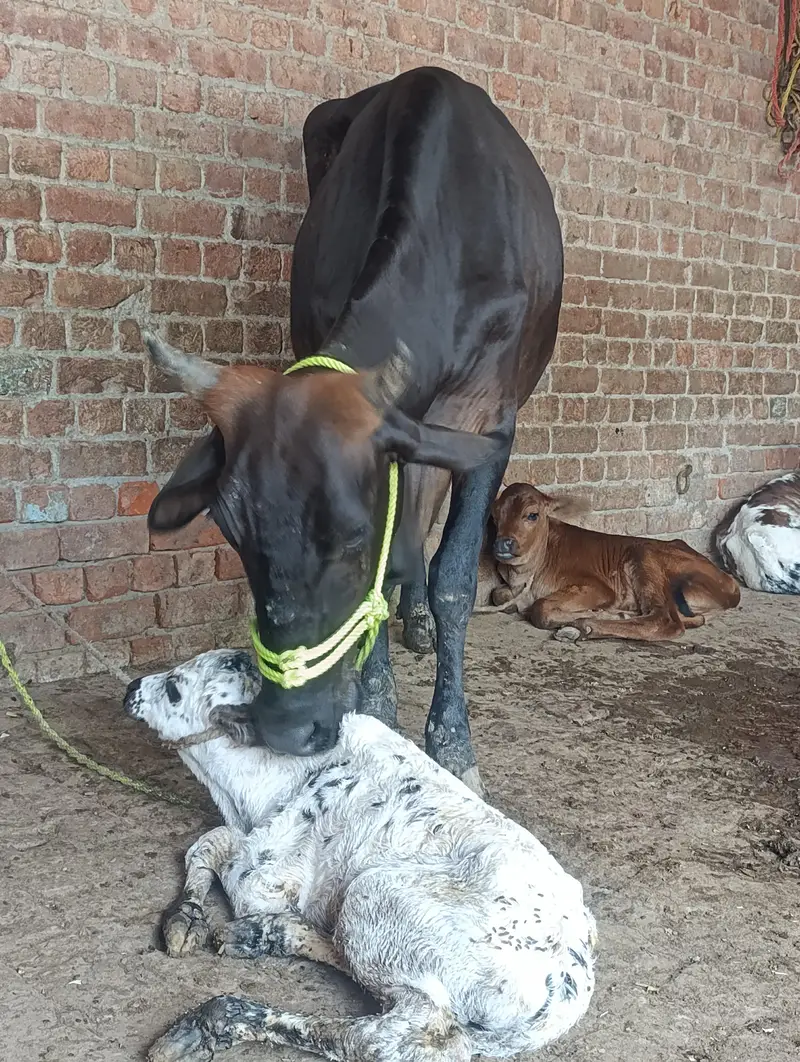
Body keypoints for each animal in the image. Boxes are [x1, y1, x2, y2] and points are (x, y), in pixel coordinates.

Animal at [123, 649, 597, 1062]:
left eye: (174, 689)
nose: (131, 687)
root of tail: (568, 981)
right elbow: (205, 844)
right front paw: (185, 919)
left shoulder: (262, 877)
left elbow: (216, 845)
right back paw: (260, 935)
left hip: (377, 896)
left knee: (398, 1032)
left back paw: (211, 1021)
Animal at [143, 66, 563, 795]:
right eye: (232, 532)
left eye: (350, 537)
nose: (285, 730)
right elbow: (398, 552)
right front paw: (379, 709)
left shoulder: (488, 418)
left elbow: (452, 575)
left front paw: (452, 744)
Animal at [488, 483, 741, 641]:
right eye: (495, 515)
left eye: (532, 514)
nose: (503, 543)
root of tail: (731, 586)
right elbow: (498, 594)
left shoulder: (599, 587)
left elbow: (540, 609)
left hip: (644, 553)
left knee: (665, 619)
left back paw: (583, 626)